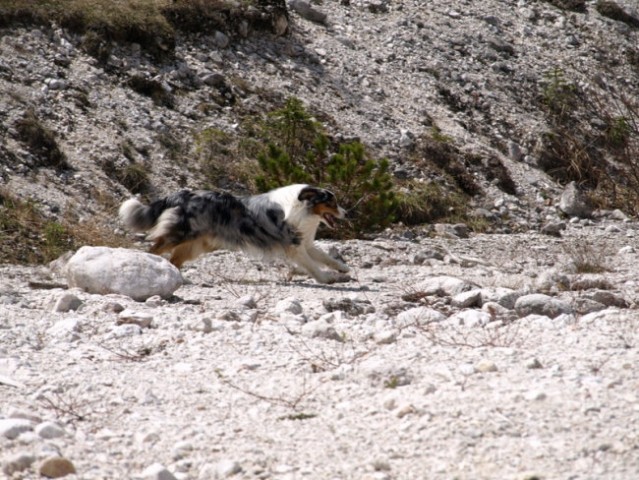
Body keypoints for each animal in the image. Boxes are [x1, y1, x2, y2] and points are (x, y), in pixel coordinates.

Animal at [118, 184, 351, 284]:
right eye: (331, 202)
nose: (346, 213)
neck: (302, 207)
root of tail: (182, 194)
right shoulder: (294, 245)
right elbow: (313, 265)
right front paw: (326, 278)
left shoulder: (306, 243)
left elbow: (326, 257)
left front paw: (343, 268)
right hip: (181, 234)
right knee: (154, 249)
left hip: (196, 244)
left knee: (174, 260)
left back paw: (180, 279)